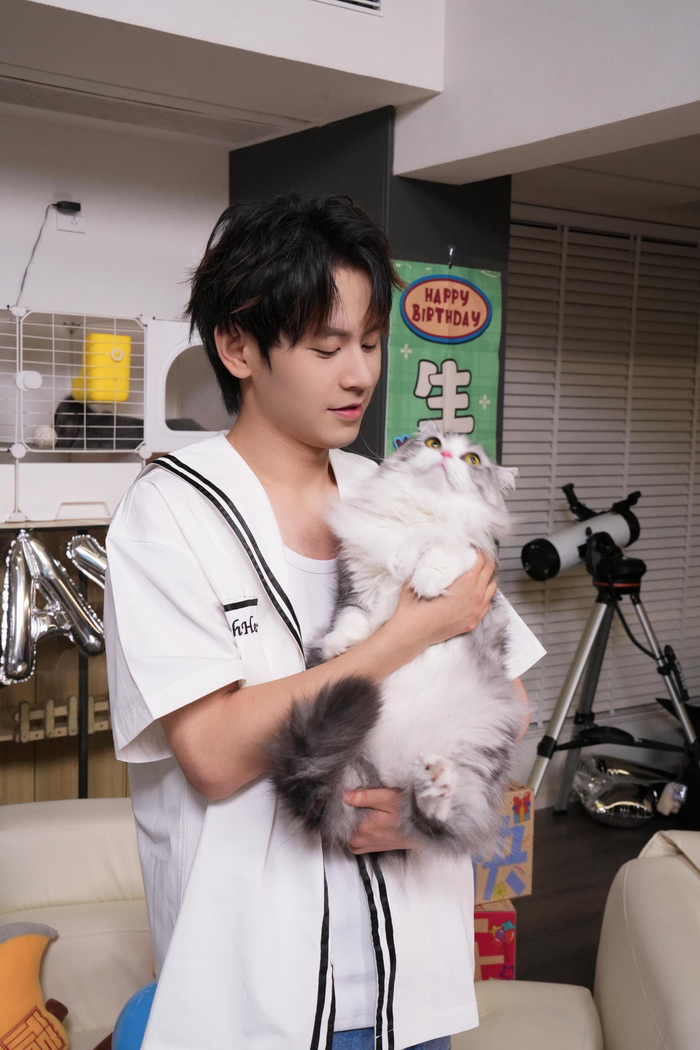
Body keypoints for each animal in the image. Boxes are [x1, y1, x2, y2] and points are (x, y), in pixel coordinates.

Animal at [268, 420, 524, 860]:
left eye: (473, 460)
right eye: (434, 443)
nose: (445, 456)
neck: (421, 516)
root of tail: (392, 774)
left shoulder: (475, 558)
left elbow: (448, 551)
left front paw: (427, 581)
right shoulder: (355, 587)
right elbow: (351, 621)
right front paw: (337, 647)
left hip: (484, 752)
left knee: (438, 823)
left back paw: (434, 784)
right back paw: (430, 783)